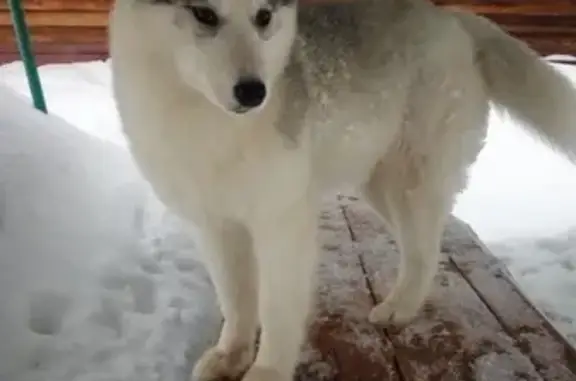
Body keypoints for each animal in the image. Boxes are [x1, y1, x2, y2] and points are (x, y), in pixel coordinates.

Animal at [109, 0, 576, 378]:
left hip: (410, 181)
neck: (207, 123)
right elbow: (237, 302)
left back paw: (399, 309)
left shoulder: (282, 224)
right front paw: (231, 357)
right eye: (203, 13)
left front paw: (267, 371)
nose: (254, 91)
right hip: (377, 186)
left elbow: (276, 309)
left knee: (424, 250)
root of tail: (453, 18)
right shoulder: (216, 225)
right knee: (424, 244)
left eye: (263, 16)